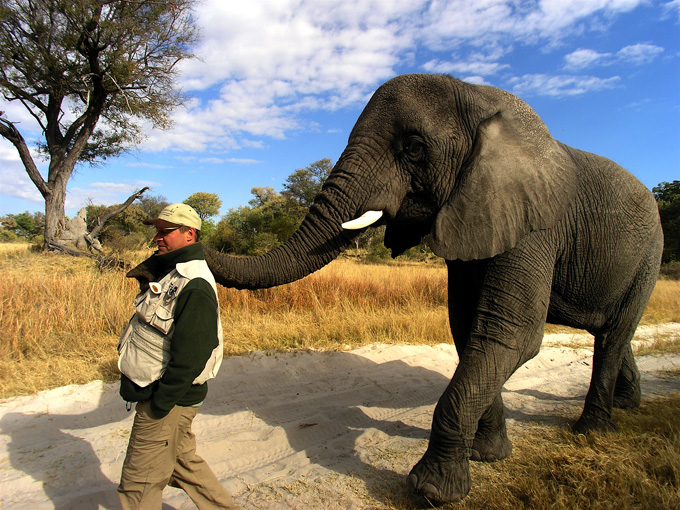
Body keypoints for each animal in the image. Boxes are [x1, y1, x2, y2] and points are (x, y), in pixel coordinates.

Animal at [204, 74, 663, 505]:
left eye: (413, 147)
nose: (189, 234)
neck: (480, 98)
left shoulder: (535, 223)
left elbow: (509, 335)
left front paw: (432, 491)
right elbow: (467, 328)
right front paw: (488, 456)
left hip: (650, 254)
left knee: (613, 334)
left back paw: (593, 432)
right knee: (611, 334)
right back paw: (627, 406)